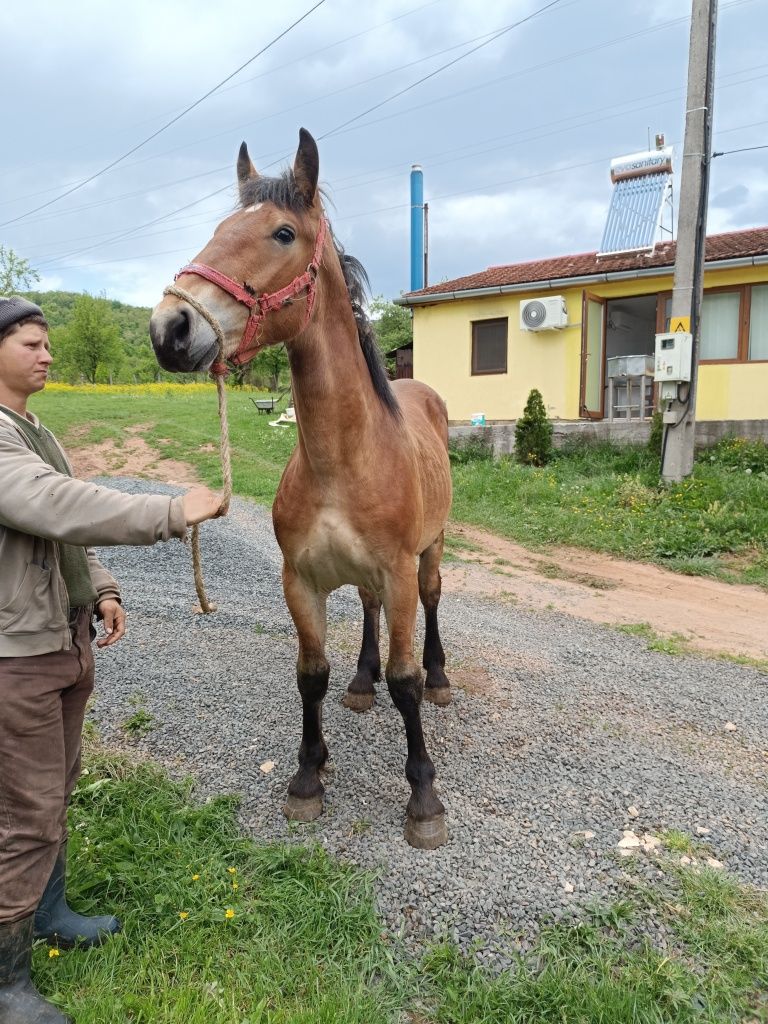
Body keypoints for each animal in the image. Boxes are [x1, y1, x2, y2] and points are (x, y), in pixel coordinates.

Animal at [147, 128, 454, 847]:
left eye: (282, 233)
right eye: (218, 229)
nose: (170, 328)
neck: (342, 460)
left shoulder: (398, 571)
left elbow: (404, 681)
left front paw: (423, 797)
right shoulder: (301, 581)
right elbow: (311, 675)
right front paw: (308, 777)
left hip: (430, 554)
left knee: (430, 607)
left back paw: (440, 677)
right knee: (367, 615)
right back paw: (362, 683)